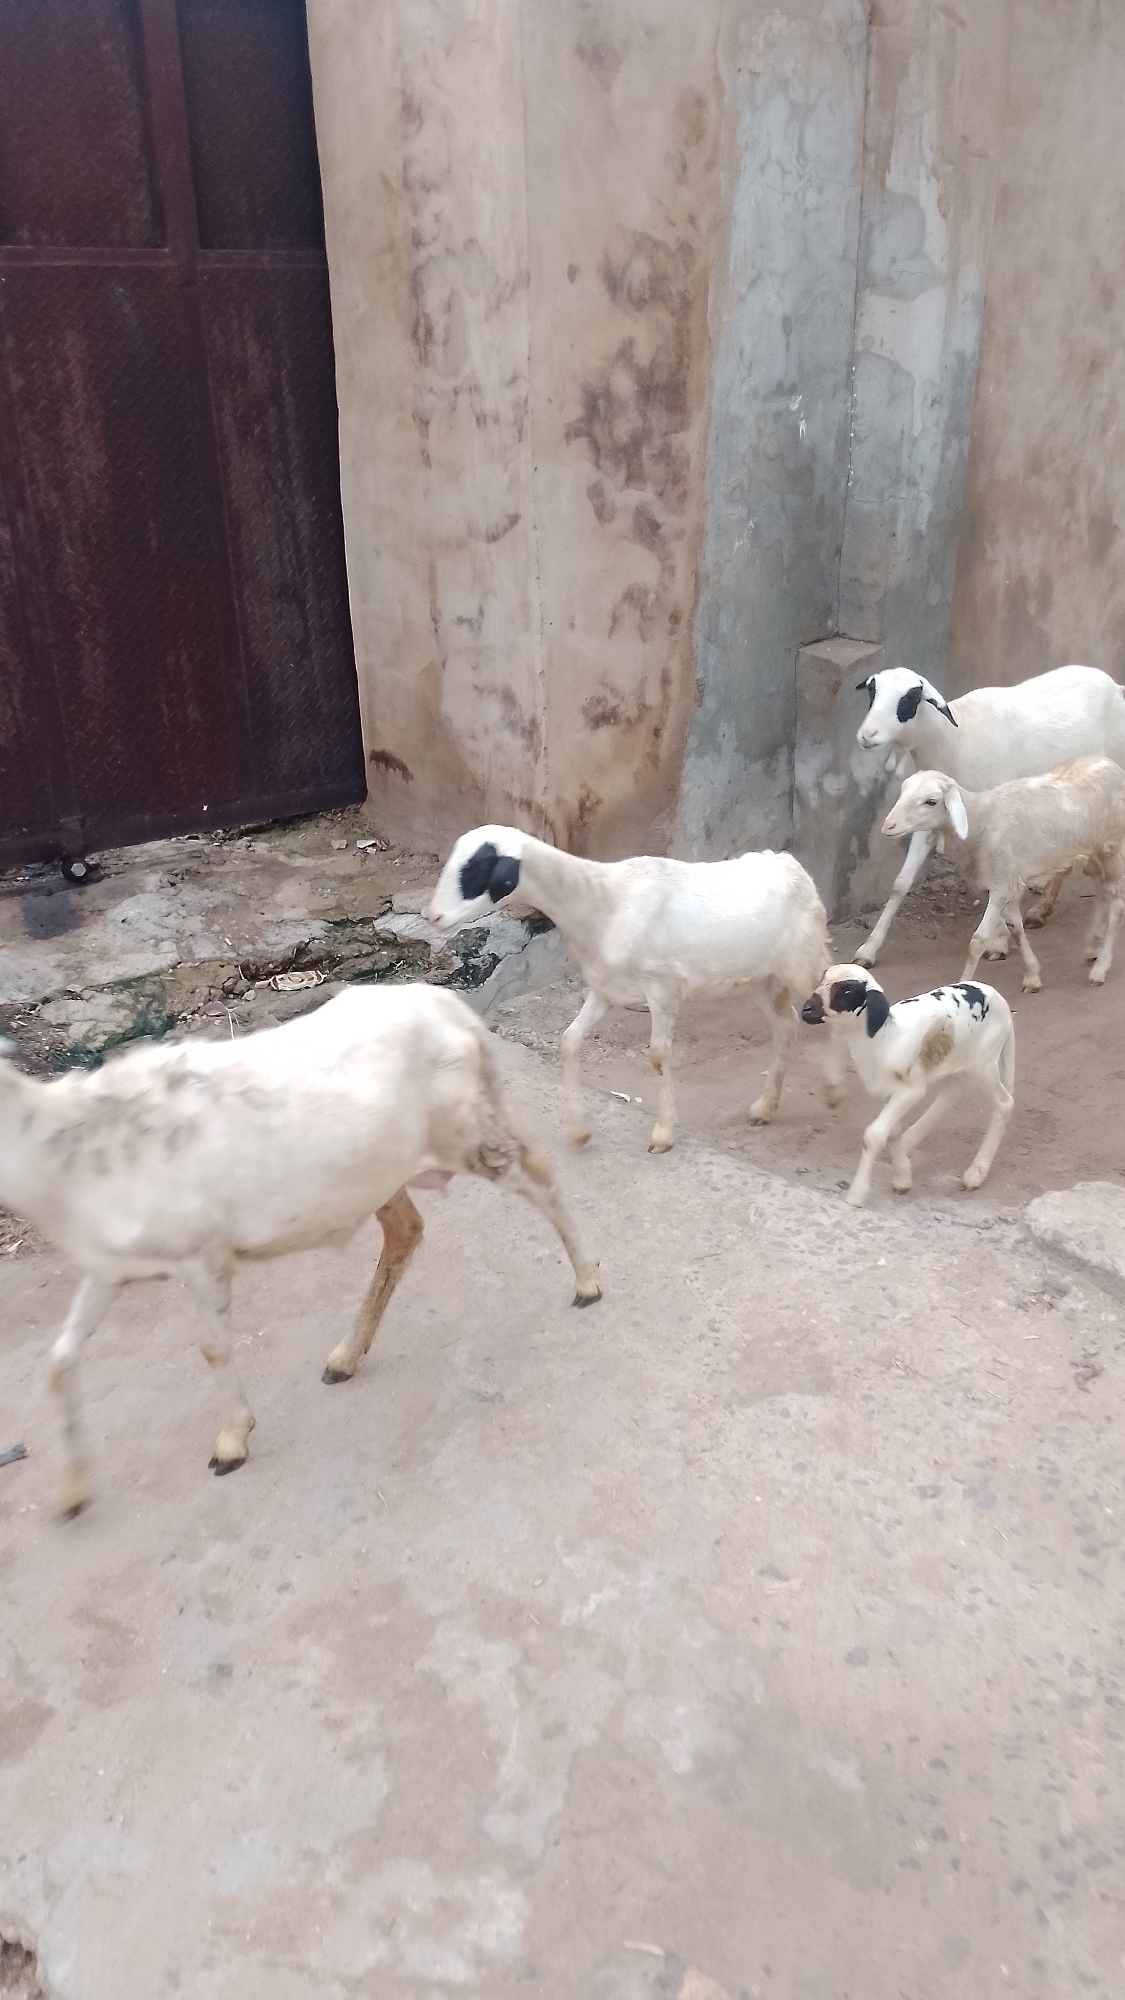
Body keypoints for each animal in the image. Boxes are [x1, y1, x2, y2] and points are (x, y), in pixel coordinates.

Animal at [3, 984, 602, 1516]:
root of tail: (453, 1008)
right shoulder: (107, 1267)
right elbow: (59, 1362)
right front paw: (73, 1492)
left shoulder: (201, 1254)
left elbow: (212, 1347)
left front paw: (231, 1444)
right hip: (383, 1170)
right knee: (406, 1231)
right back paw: (345, 1357)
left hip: (469, 1134)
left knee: (542, 1180)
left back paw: (587, 1283)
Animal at [426, 825, 831, 1154]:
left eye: (477, 868)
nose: (433, 917)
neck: (602, 902)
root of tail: (790, 864)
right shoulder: (605, 989)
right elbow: (569, 1041)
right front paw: (579, 1131)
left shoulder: (664, 988)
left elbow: (658, 1056)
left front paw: (663, 1135)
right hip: (762, 977)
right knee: (786, 1024)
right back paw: (765, 1108)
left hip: (805, 964)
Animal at [800, 964, 1015, 1207]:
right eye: (822, 979)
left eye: (847, 991)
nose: (806, 1009)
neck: (884, 1039)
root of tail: (1000, 1001)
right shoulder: (889, 1092)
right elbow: (891, 1133)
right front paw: (902, 1178)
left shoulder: (909, 1091)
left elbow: (874, 1135)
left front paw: (857, 1194)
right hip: (953, 1057)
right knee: (952, 1091)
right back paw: (912, 1139)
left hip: (983, 1063)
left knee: (1003, 1104)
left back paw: (976, 1173)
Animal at [852, 663, 1125, 965]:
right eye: (872, 691)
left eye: (911, 697)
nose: (866, 735)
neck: (953, 739)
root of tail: (1115, 686)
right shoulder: (928, 818)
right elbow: (900, 884)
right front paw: (868, 949)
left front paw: (997, 941)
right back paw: (1042, 910)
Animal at [882, 758, 1125, 993]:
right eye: (903, 791)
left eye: (931, 801)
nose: (887, 826)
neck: (980, 820)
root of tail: (1110, 764)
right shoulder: (1008, 882)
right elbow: (1016, 929)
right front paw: (1032, 976)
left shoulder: (1002, 887)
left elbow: (977, 942)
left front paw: (963, 985)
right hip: (1091, 854)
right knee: (1102, 893)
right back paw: (1092, 946)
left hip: (1113, 849)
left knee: (1116, 905)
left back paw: (1099, 969)